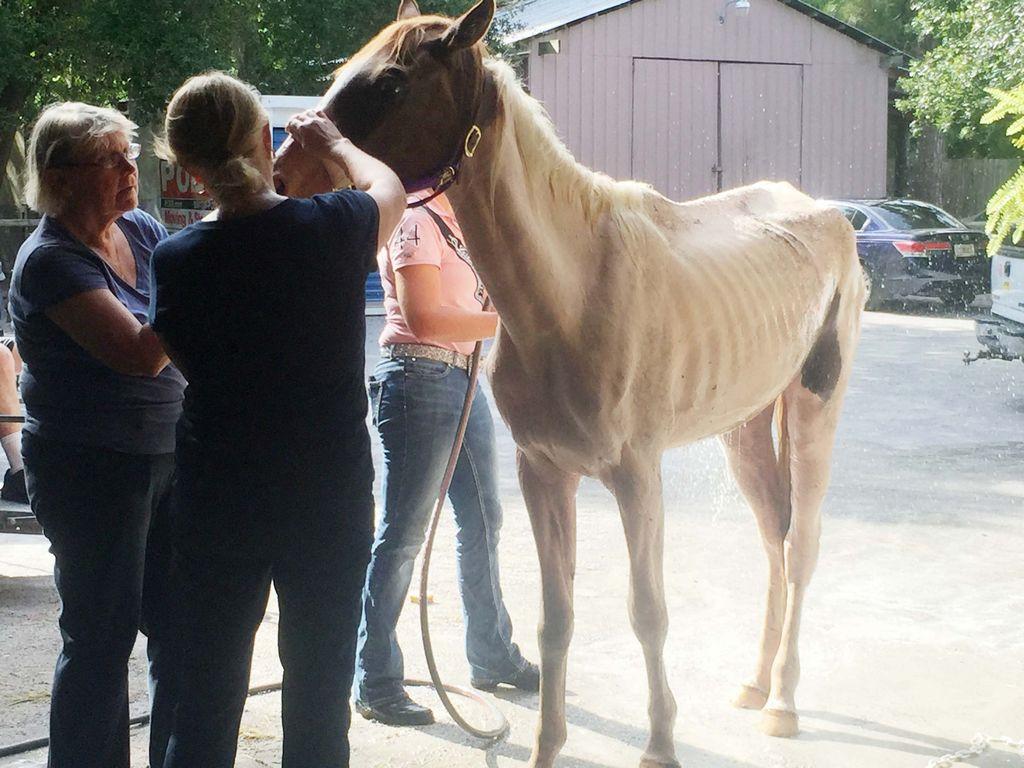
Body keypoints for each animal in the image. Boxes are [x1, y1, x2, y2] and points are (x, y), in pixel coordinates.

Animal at [274, 3, 864, 765]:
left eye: (394, 83)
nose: (285, 169)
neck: (573, 289)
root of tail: (826, 215)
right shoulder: (544, 473)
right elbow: (556, 619)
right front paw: (545, 748)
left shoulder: (637, 476)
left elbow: (649, 612)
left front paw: (660, 746)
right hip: (745, 426)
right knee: (774, 533)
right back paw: (754, 686)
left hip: (816, 408)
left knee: (801, 546)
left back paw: (784, 705)